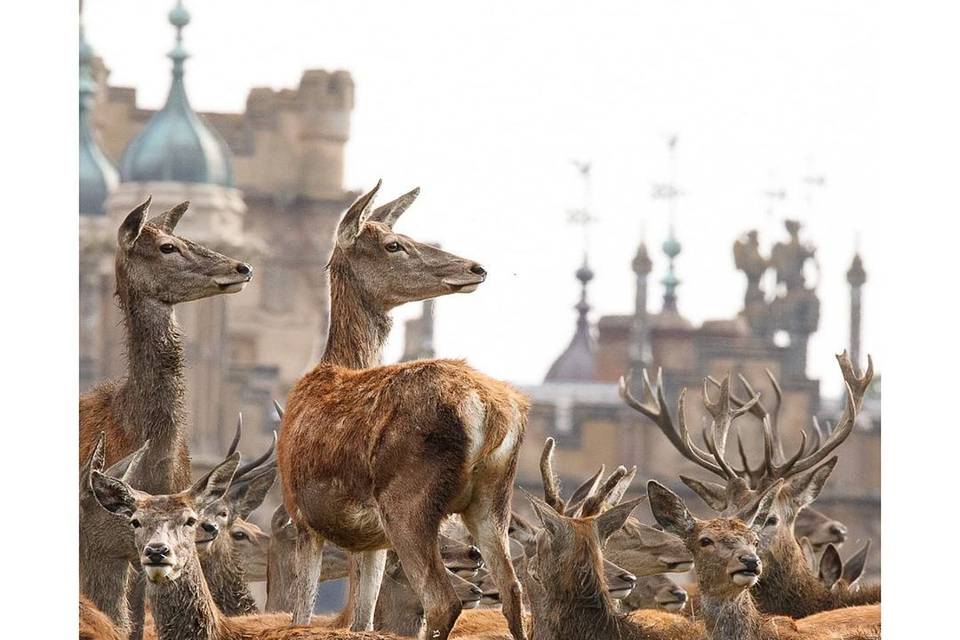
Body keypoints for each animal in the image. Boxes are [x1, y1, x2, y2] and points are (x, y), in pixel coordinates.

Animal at [278, 181, 528, 640]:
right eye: (394, 244)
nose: (476, 268)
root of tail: (489, 409)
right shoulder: (371, 540)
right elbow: (362, 620)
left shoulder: (302, 517)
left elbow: (301, 614)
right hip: (493, 496)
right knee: (513, 590)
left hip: (408, 500)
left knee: (443, 600)